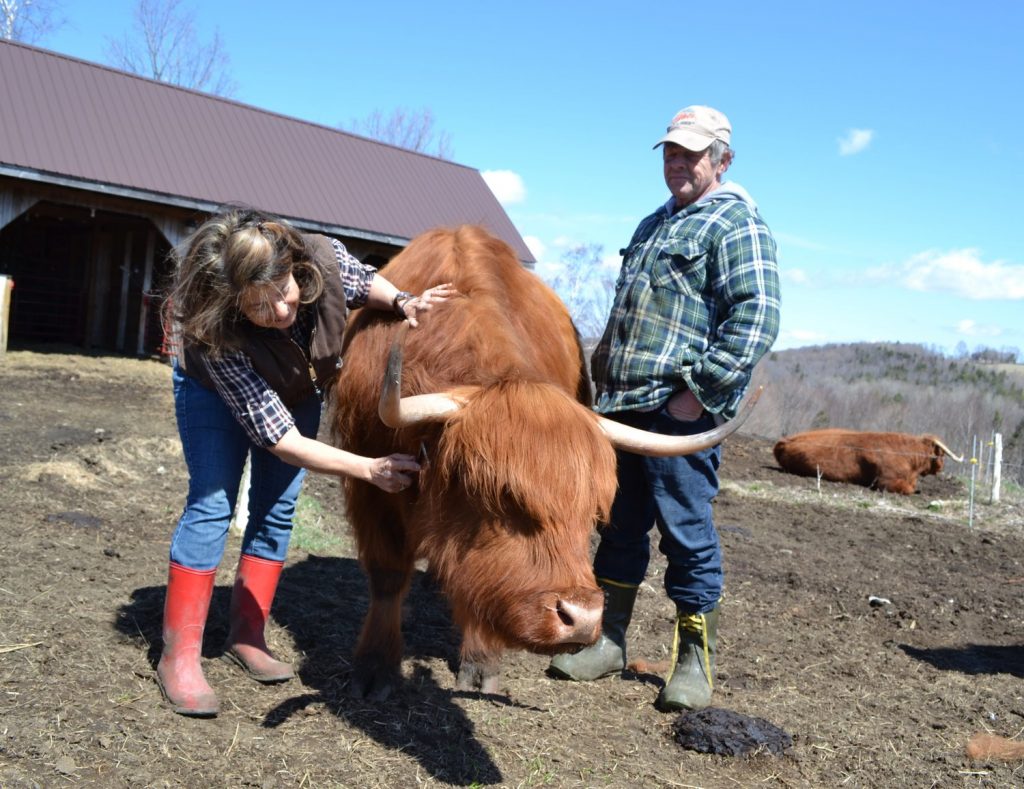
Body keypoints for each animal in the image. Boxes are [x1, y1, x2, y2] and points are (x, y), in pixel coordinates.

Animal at [335, 225, 761, 699]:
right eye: (503, 498)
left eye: (593, 513)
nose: (582, 619)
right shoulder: (371, 483)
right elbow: (389, 575)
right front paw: (374, 669)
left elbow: (480, 588)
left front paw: (481, 664)